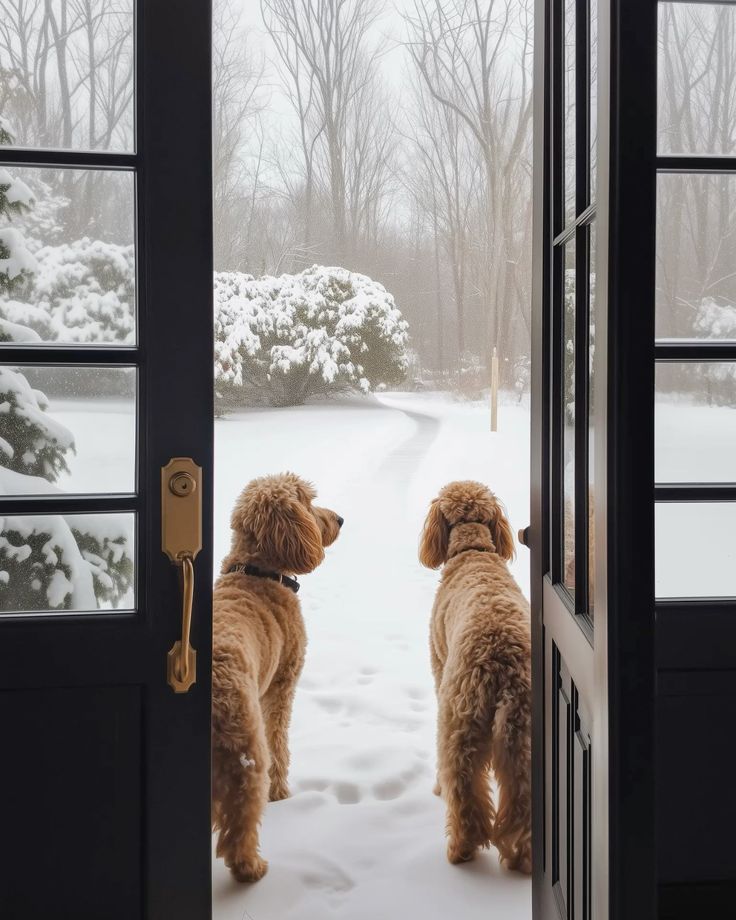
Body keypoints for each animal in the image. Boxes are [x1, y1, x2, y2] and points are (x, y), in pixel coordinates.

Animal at [210, 474, 342, 884]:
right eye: (309, 502)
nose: (340, 519)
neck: (257, 572)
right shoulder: (282, 686)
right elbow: (280, 741)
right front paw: (282, 792)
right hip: (245, 752)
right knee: (239, 824)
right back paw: (251, 868)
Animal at [416, 478, 532, 872]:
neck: (473, 551)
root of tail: (503, 660)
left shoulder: (439, 668)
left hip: (460, 718)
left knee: (462, 787)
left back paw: (461, 850)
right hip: (524, 733)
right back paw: (523, 857)